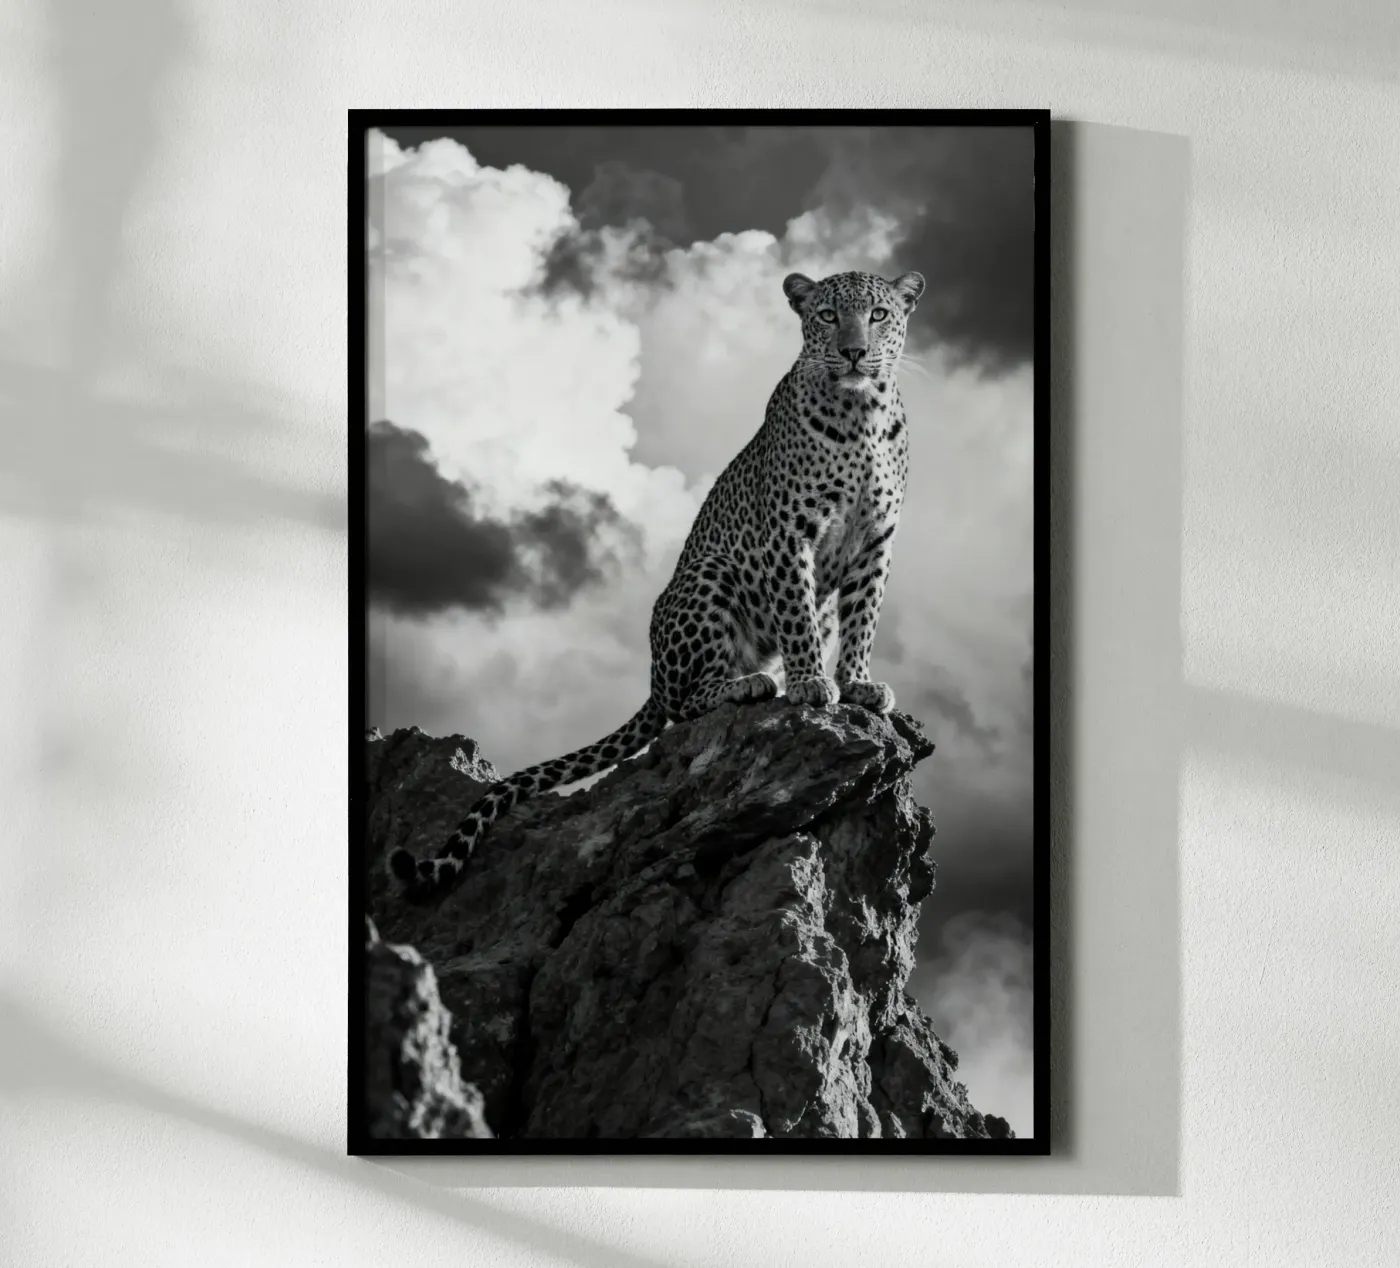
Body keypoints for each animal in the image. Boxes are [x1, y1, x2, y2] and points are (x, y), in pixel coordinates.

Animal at [388, 268, 926, 898]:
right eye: (826, 316)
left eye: (879, 315)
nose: (854, 352)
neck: (860, 413)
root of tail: (650, 675)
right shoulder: (788, 532)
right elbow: (796, 615)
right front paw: (812, 684)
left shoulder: (875, 541)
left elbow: (864, 617)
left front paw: (858, 683)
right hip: (708, 575)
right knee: (685, 702)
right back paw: (749, 685)